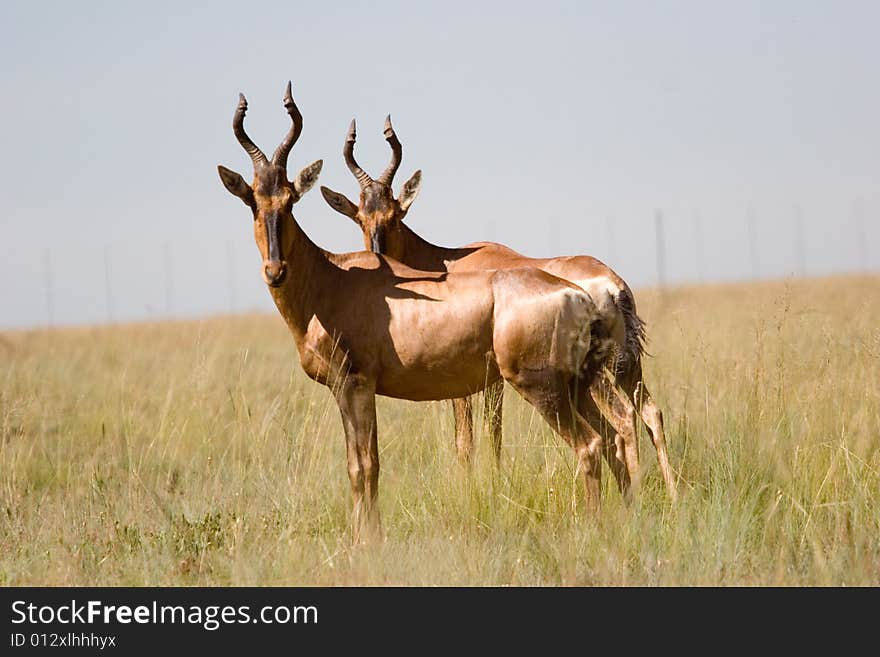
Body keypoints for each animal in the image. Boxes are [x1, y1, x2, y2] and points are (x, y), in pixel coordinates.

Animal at [218, 84, 620, 540]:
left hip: (541, 387)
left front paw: (366, 542)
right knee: (613, 438)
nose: (275, 271)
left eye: (290, 199)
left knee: (590, 445)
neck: (334, 277)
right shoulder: (352, 389)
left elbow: (364, 466)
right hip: (577, 386)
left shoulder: (354, 385)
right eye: (253, 201)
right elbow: (363, 463)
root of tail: (580, 296)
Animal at [320, 116, 676, 498]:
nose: (379, 260)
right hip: (624, 364)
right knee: (651, 412)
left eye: (396, 215)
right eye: (360, 217)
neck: (446, 260)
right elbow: (493, 431)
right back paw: (672, 494)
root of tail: (612, 284)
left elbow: (469, 438)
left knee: (623, 417)